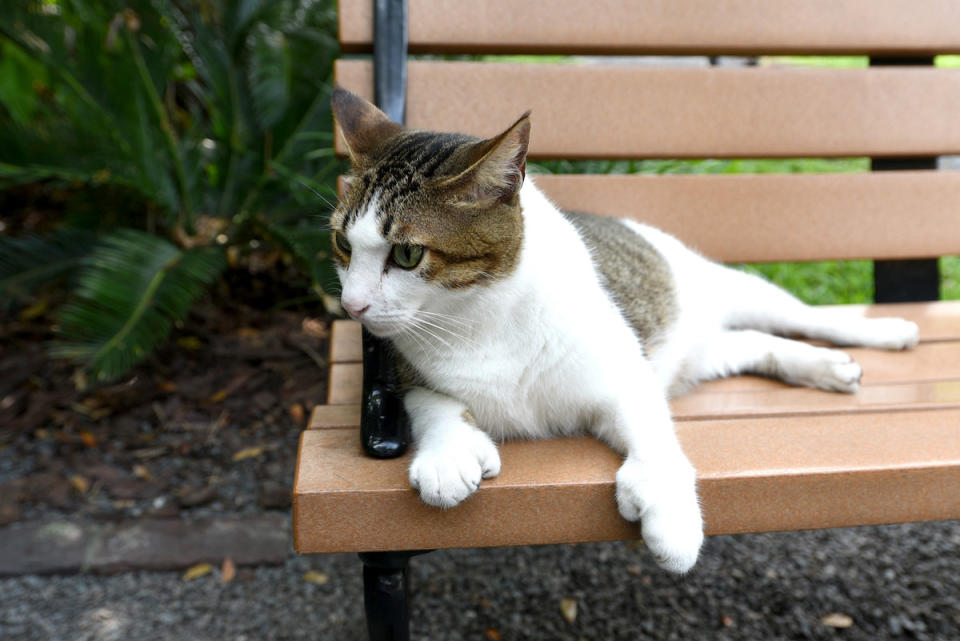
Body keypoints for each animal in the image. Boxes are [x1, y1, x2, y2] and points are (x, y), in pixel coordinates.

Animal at [330, 86, 924, 576]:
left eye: (408, 254)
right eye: (341, 244)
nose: (352, 305)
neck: (477, 318)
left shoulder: (623, 372)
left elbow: (653, 435)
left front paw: (673, 524)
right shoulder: (399, 368)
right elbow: (431, 401)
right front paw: (449, 455)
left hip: (728, 289)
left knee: (801, 317)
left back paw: (880, 333)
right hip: (702, 351)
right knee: (752, 343)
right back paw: (820, 366)